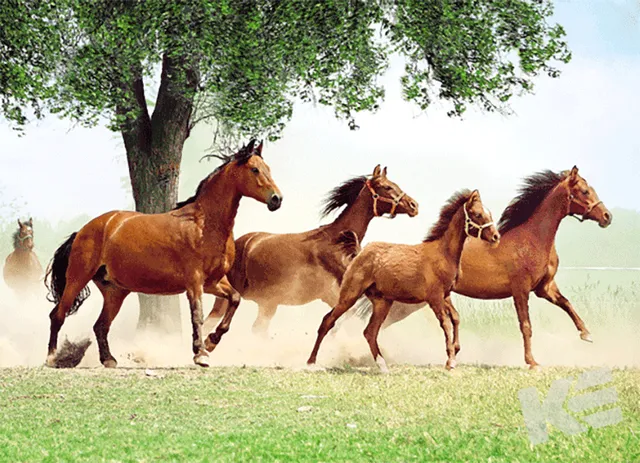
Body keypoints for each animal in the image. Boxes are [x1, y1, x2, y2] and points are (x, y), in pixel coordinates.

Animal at [44, 139, 282, 369]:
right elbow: (197, 315)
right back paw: (52, 358)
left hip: (115, 292)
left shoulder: (213, 282)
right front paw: (200, 354)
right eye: (254, 169)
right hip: (77, 279)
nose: (276, 199)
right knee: (58, 315)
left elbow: (235, 299)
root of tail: (83, 230)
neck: (204, 224)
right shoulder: (195, 282)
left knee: (101, 326)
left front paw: (211, 342)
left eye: (268, 169)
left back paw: (109, 360)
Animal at [201, 164, 419, 343]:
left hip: (266, 303)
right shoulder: (333, 294)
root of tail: (241, 243)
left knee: (252, 328)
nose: (414, 205)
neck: (337, 243)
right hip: (231, 296)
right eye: (387, 187)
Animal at [307, 189, 499, 372]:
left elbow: (456, 318)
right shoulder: (435, 298)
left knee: (370, 332)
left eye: (489, 212)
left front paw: (456, 350)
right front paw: (450, 361)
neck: (442, 254)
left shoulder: (445, 295)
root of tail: (360, 253)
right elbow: (445, 323)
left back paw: (383, 366)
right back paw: (311, 362)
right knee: (328, 321)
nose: (496, 237)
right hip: (350, 294)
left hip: (382, 303)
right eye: (477, 214)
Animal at [354, 167, 612, 369]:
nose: (607, 216)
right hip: (408, 304)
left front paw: (586, 334)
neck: (532, 240)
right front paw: (532, 362)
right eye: (585, 191)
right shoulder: (521, 290)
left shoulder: (545, 288)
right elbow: (526, 326)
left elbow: (567, 304)